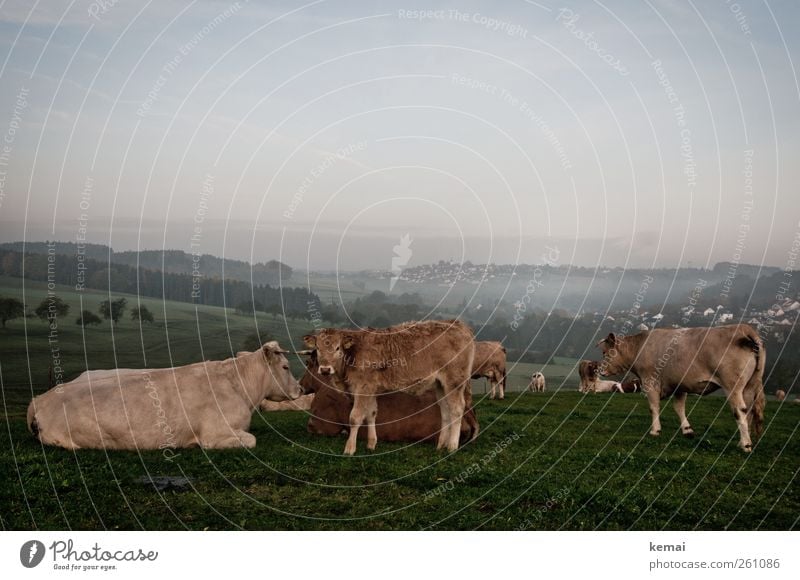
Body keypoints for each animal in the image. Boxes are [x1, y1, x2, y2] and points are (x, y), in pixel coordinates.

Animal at [600, 322, 764, 454]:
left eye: (604, 352)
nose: (600, 371)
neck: (639, 347)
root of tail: (742, 328)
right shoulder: (680, 385)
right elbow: (679, 407)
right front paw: (687, 430)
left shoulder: (650, 382)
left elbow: (654, 407)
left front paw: (655, 430)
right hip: (750, 385)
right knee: (749, 410)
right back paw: (742, 442)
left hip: (732, 386)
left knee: (739, 411)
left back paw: (746, 445)